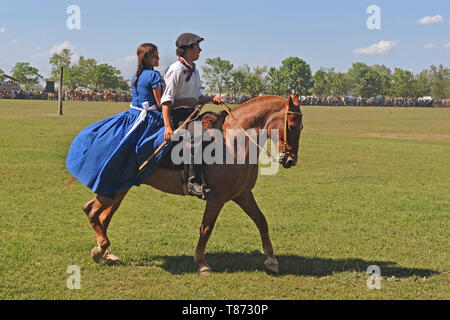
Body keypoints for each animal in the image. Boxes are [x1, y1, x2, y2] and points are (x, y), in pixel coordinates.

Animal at [82, 93, 304, 276]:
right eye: (292, 126)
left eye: (301, 127)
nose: (290, 160)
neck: (235, 142)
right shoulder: (217, 198)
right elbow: (206, 228)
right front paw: (202, 263)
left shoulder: (242, 194)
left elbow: (261, 221)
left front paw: (271, 260)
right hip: (115, 186)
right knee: (91, 209)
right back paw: (100, 250)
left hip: (120, 188)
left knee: (104, 215)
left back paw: (104, 253)